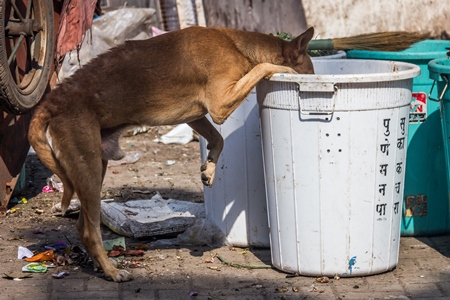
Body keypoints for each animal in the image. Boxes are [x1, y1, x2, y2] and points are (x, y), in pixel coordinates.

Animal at [28, 25, 314, 282]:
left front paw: (210, 169)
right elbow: (263, 67)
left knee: (82, 225)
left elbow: (219, 139)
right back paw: (112, 272)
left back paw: (101, 266)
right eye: (310, 71)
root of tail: (52, 101)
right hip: (87, 167)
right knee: (89, 232)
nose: (313, 78)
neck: (238, 46)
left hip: (95, 167)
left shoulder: (197, 115)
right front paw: (283, 70)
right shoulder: (219, 104)